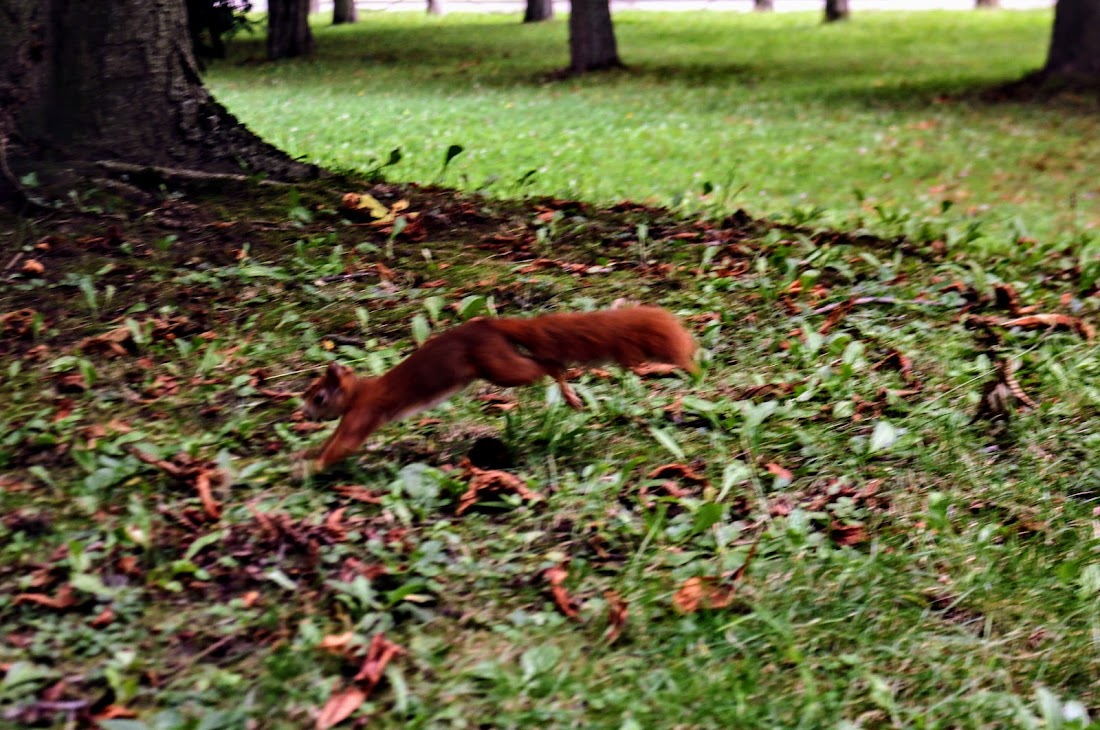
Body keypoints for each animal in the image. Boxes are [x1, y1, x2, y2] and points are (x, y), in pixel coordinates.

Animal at [297, 305, 695, 477]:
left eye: (318, 396)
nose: (304, 414)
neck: (359, 392)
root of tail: (491, 325)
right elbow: (333, 442)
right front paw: (307, 455)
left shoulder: (363, 413)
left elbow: (343, 447)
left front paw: (307, 469)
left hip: (501, 369)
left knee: (545, 367)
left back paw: (567, 391)